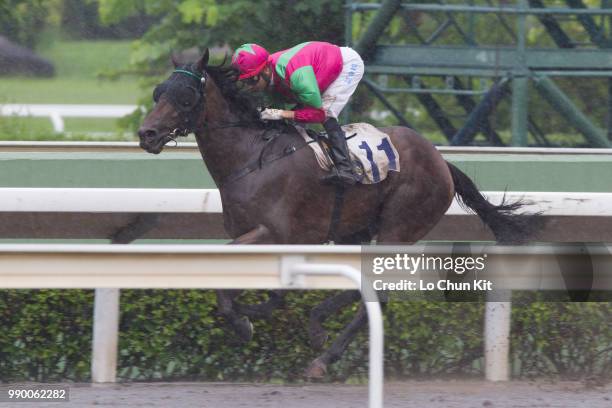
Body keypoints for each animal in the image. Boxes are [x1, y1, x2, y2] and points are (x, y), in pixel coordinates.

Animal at [136, 49, 544, 378]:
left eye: (185, 96)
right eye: (158, 92)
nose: (147, 134)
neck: (250, 158)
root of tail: (441, 161)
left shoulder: (273, 232)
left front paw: (242, 323)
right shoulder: (266, 236)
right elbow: (263, 287)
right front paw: (256, 310)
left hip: (397, 229)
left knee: (378, 294)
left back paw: (322, 357)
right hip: (354, 231)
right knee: (363, 285)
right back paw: (317, 326)